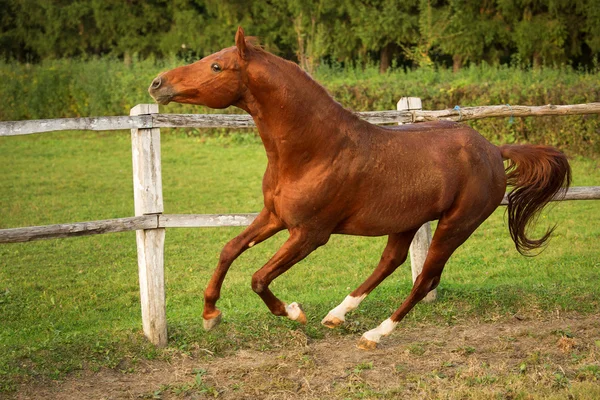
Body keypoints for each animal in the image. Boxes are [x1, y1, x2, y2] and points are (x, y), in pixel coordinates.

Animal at [148, 26, 568, 348]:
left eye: (217, 65)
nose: (156, 83)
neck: (315, 150)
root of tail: (495, 150)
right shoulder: (274, 216)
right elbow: (229, 249)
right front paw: (210, 315)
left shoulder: (310, 234)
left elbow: (259, 277)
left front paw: (293, 312)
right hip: (406, 222)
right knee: (391, 262)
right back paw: (337, 315)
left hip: (456, 225)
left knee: (425, 278)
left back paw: (374, 334)